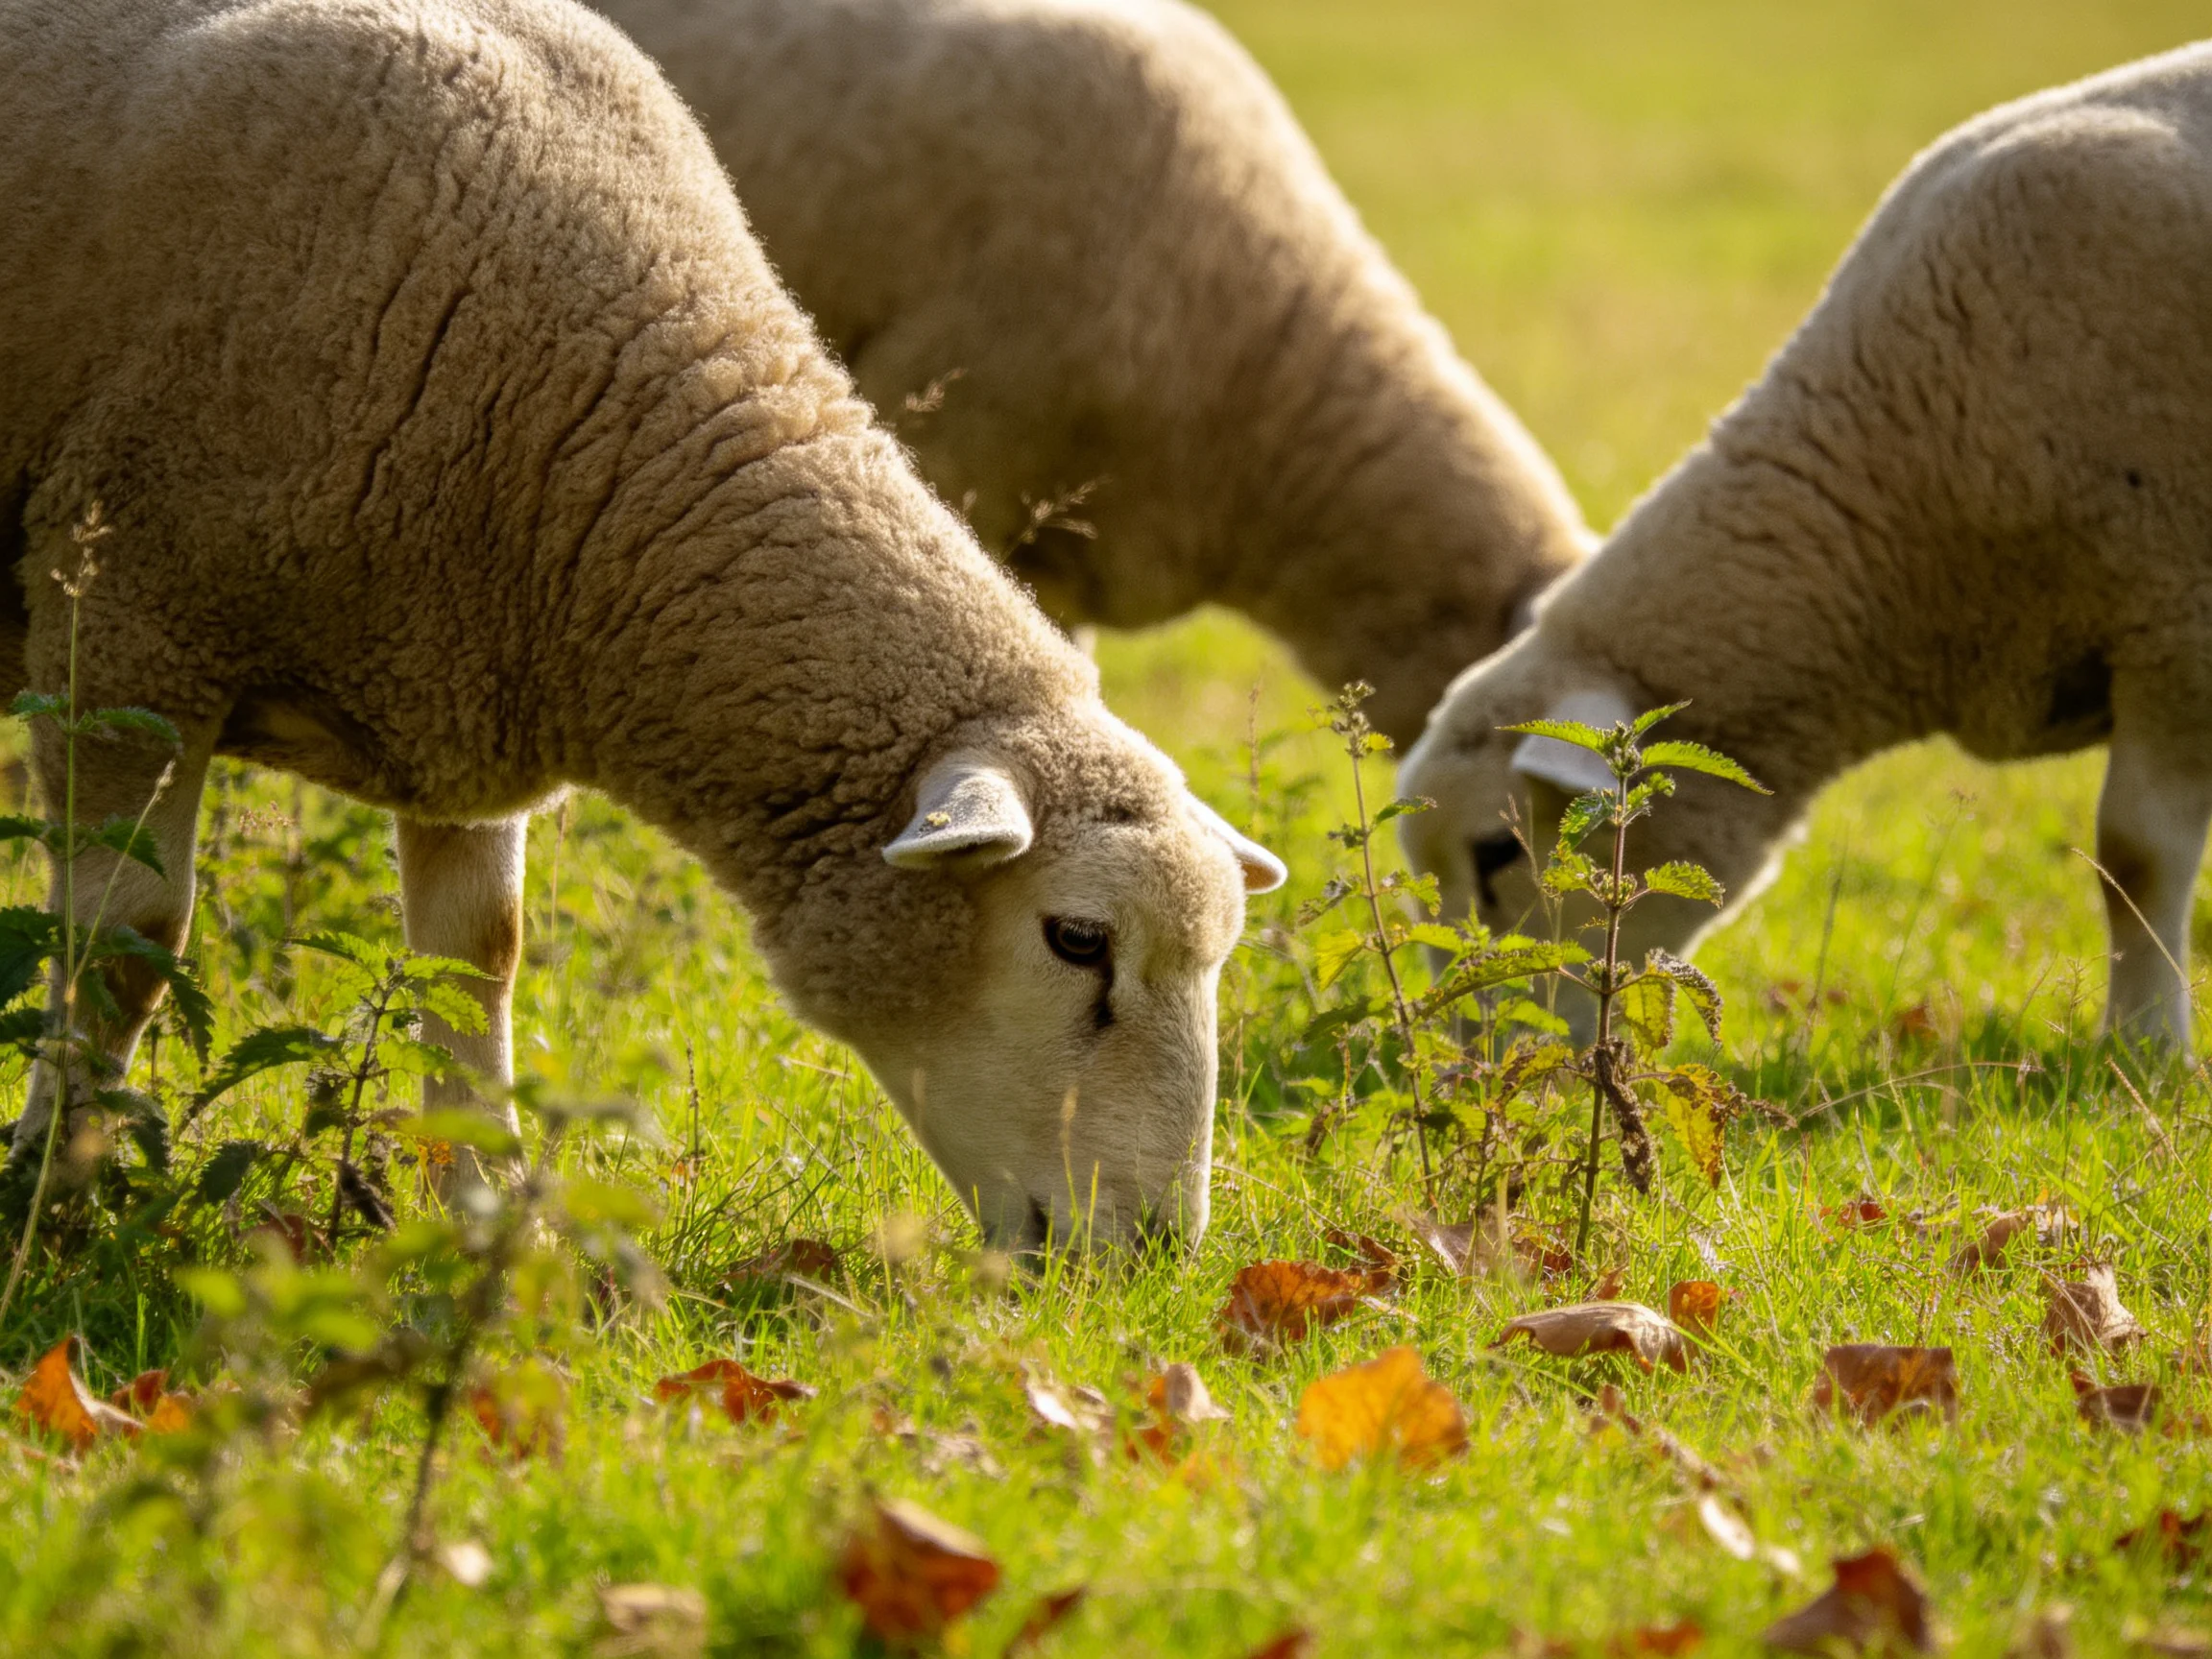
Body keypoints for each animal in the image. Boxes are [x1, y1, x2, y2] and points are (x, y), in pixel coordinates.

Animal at [0, 0, 1285, 1249]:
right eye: (1077, 940)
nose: (1162, 1251)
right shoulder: (128, 627)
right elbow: (126, 942)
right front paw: (54, 1197)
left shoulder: (449, 687)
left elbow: (476, 957)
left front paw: (488, 1216)